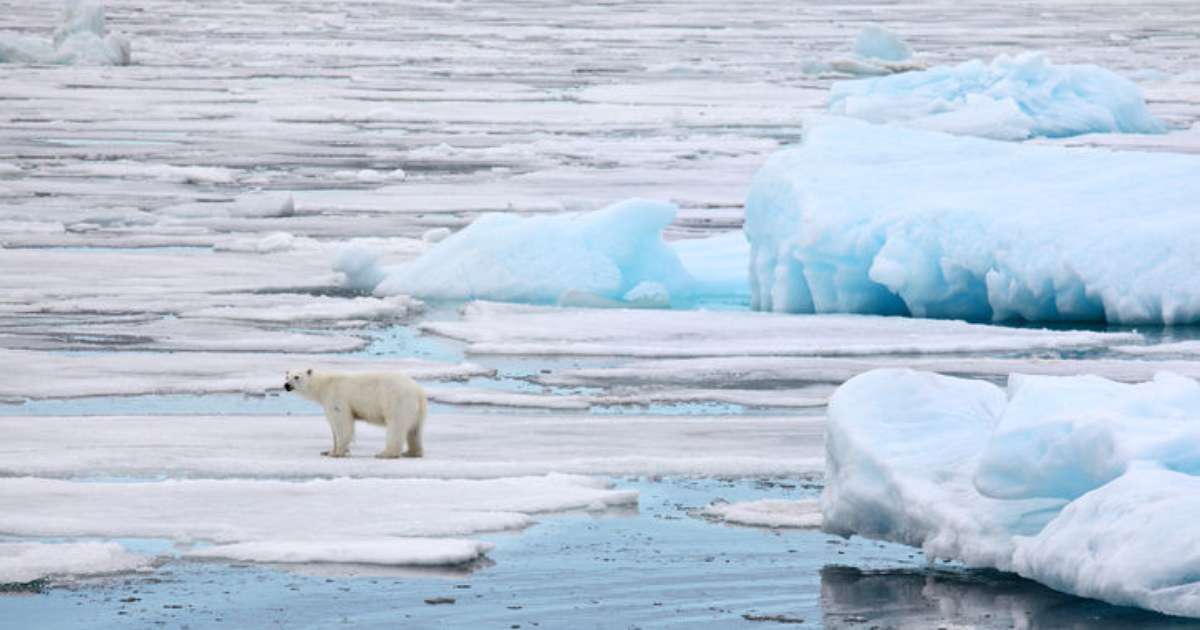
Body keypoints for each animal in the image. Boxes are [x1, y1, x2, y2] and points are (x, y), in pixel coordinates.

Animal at [284, 369, 427, 456]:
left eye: (297, 377)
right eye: (287, 376)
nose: (286, 385)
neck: (324, 385)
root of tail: (418, 392)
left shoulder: (337, 398)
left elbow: (341, 423)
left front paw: (338, 453)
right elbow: (334, 427)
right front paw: (328, 451)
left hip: (396, 401)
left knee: (396, 427)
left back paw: (385, 453)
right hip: (416, 411)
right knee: (414, 431)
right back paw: (411, 452)